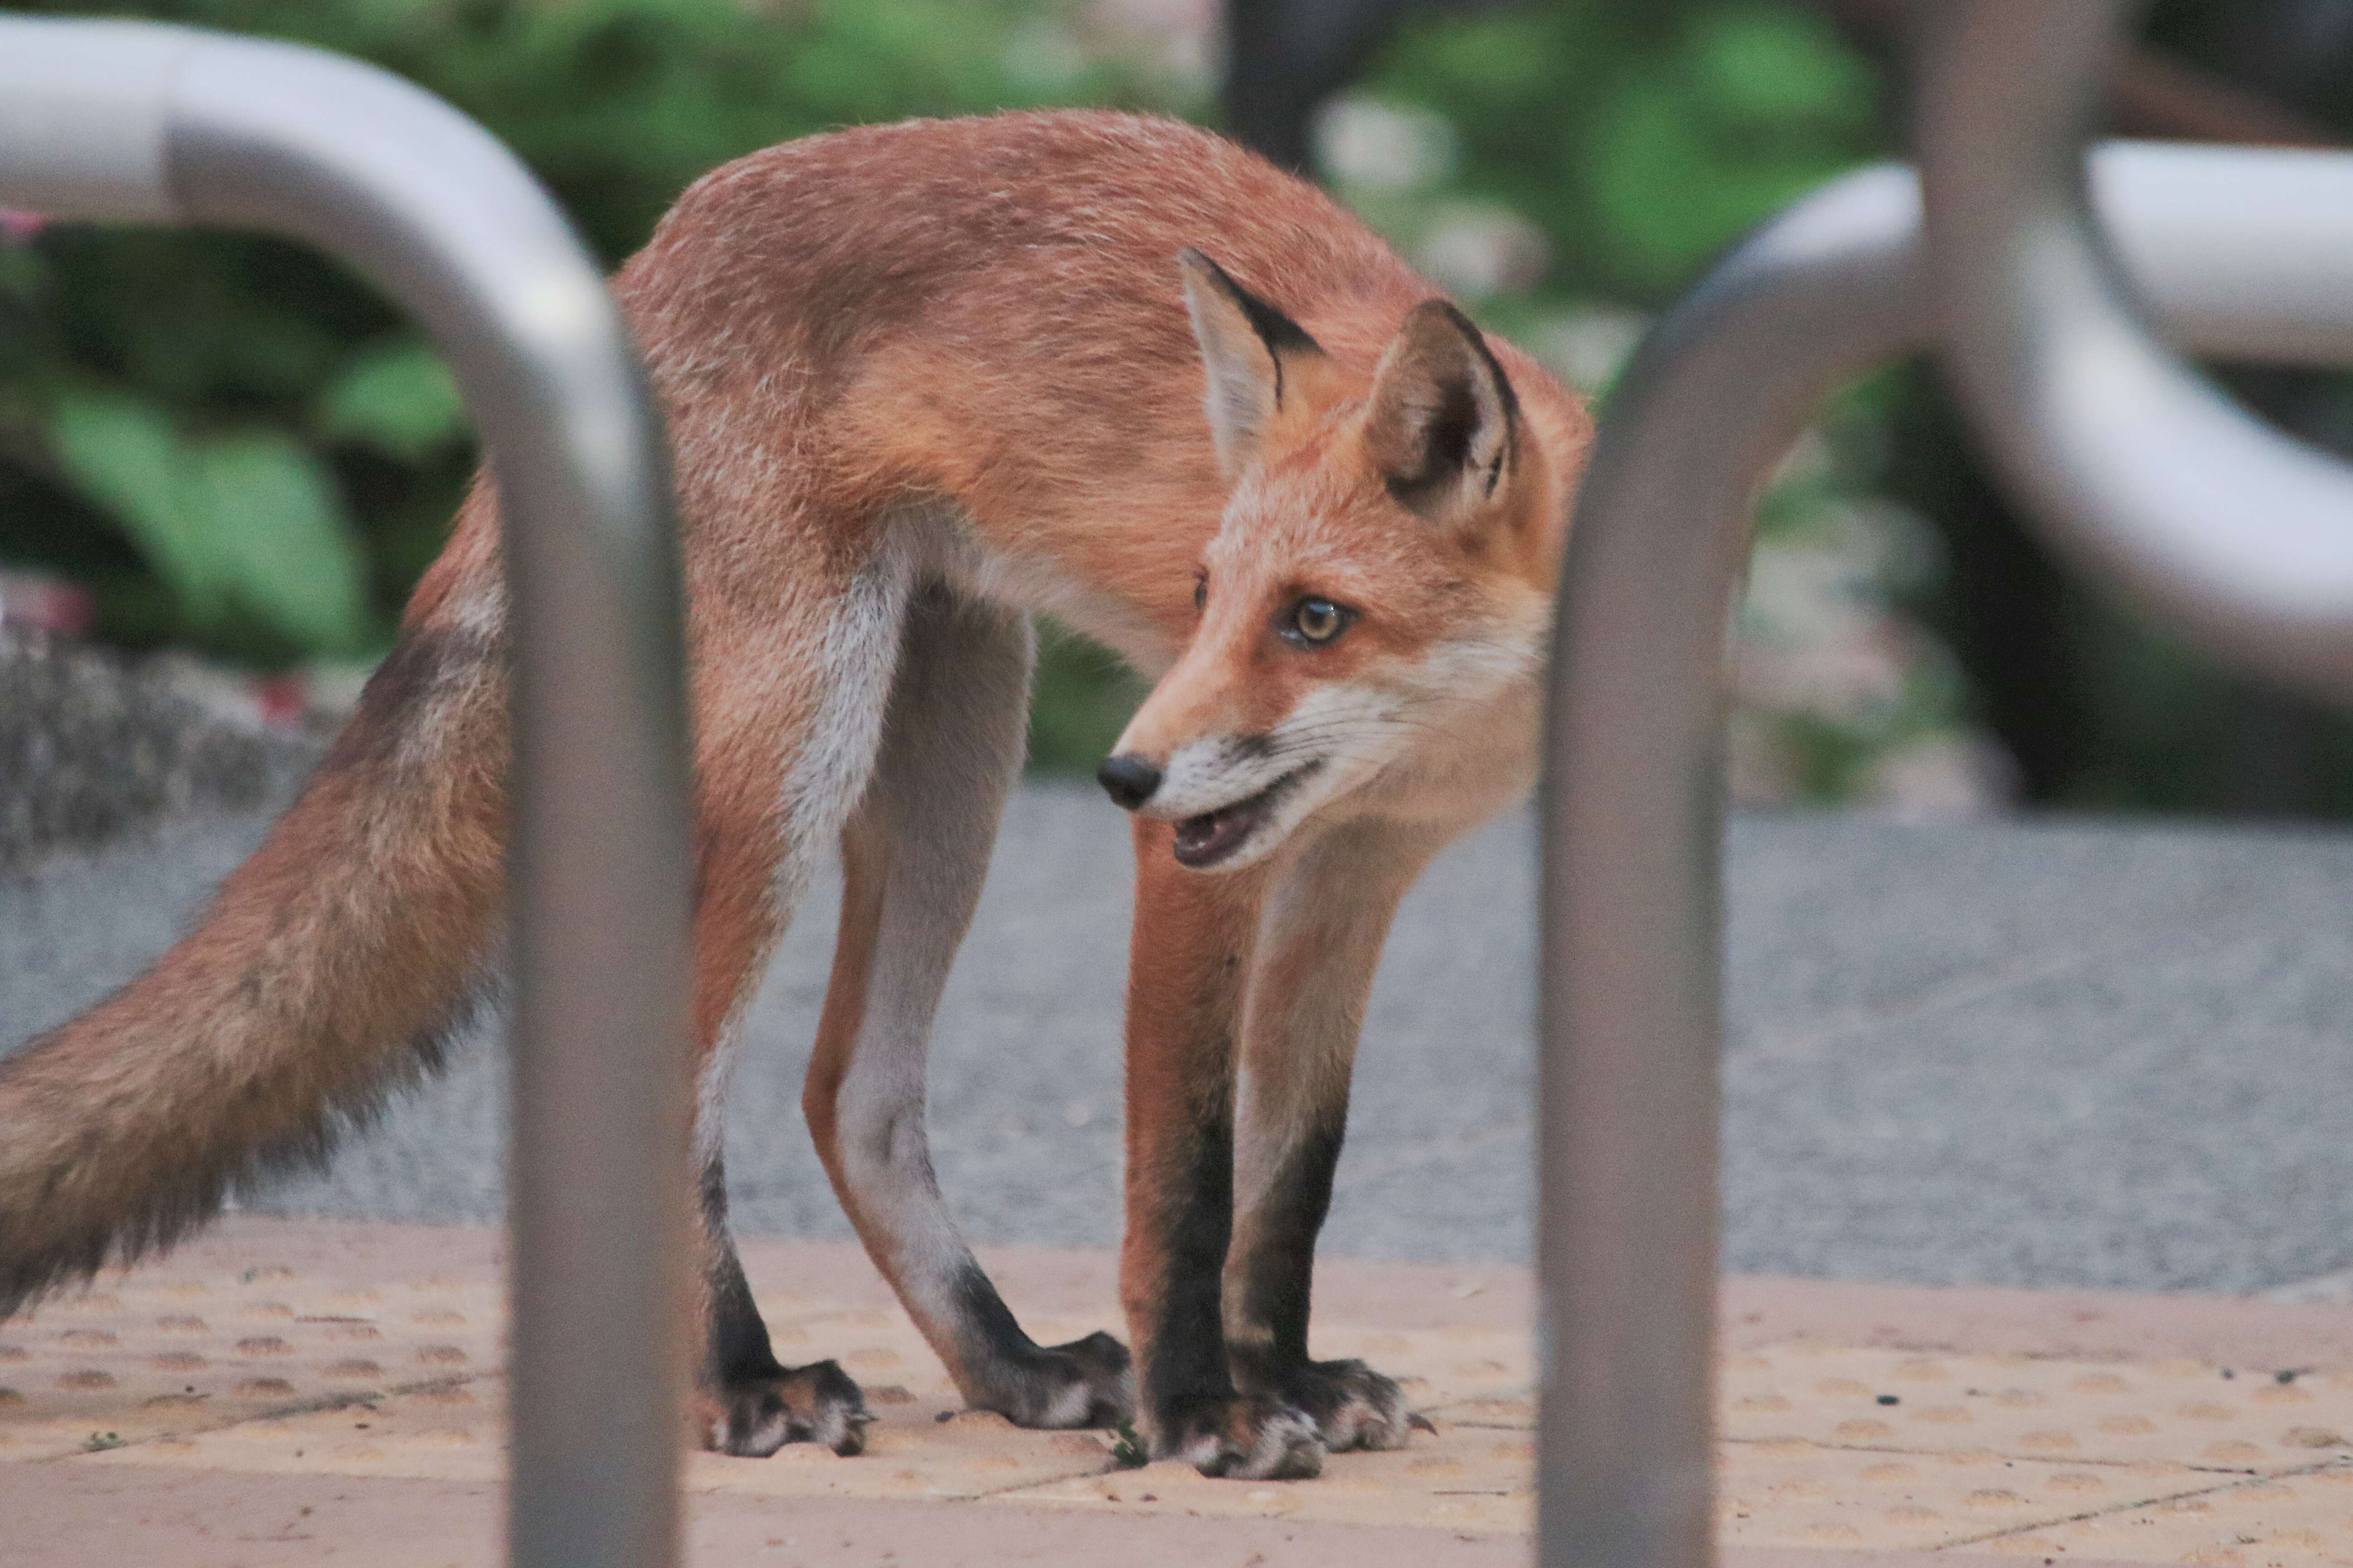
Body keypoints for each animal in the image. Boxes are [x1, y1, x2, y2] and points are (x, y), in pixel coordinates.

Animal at [0, 110, 1591, 1485]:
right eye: (1205, 596)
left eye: (1314, 619)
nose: (1124, 776)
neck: (1432, 748)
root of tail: (643, 262)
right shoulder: (1199, 872)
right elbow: (1188, 1186)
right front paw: (1206, 1406)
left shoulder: (1353, 874)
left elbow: (1292, 1174)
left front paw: (1289, 1373)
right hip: (802, 755)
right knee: (693, 1080)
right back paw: (741, 1382)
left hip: (961, 744)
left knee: (850, 1094)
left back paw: (1009, 1366)